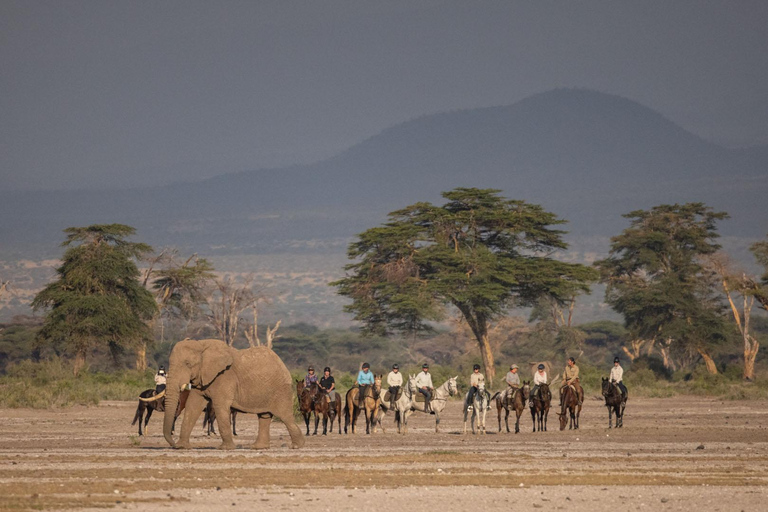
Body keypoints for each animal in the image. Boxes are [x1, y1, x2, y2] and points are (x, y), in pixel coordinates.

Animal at [163, 340, 306, 452]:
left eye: (188, 364)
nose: (172, 444)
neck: (201, 344)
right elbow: (192, 406)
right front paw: (182, 447)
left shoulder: (224, 378)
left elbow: (220, 406)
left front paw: (225, 448)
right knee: (264, 416)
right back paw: (258, 447)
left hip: (281, 389)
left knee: (285, 416)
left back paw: (297, 446)